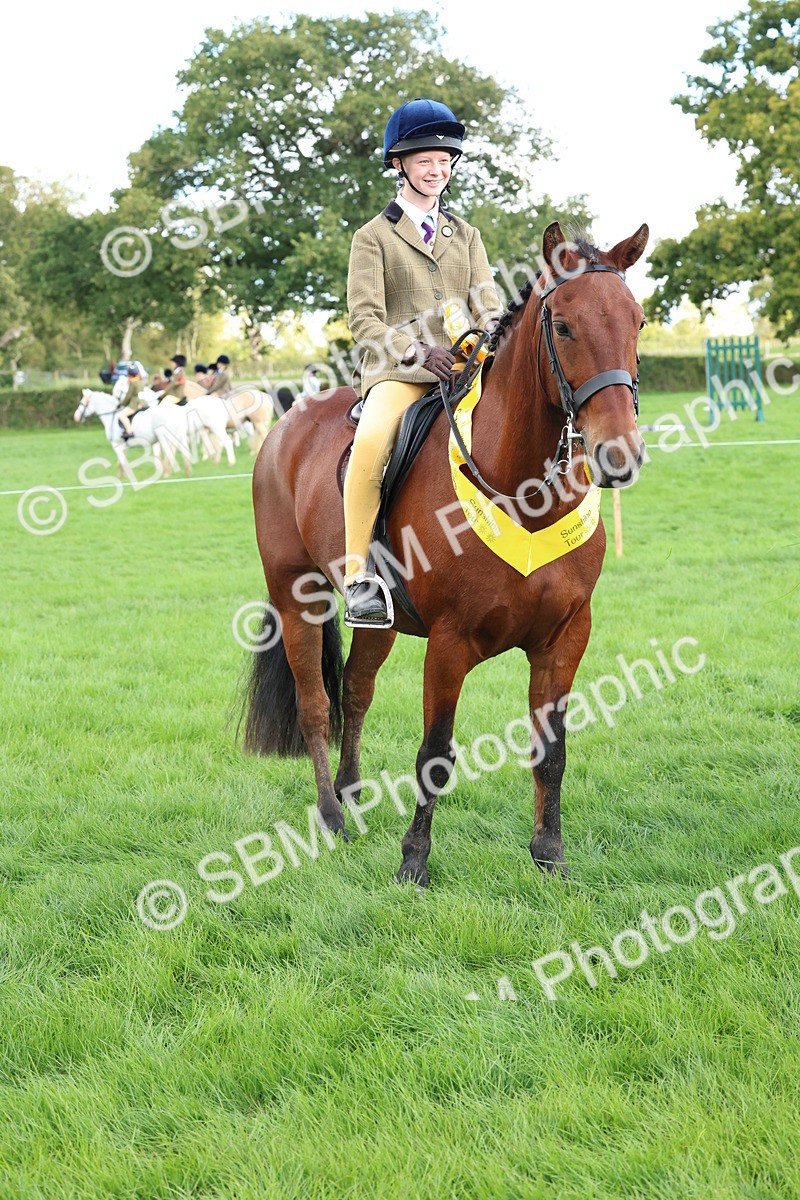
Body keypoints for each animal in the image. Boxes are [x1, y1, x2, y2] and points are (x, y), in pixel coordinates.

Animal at [241, 222, 649, 887]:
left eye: (636, 321)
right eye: (563, 326)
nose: (620, 454)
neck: (524, 494)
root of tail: (284, 422)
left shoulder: (565, 638)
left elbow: (552, 748)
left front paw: (549, 855)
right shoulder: (450, 642)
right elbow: (435, 753)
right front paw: (413, 861)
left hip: (379, 620)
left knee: (356, 689)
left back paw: (352, 794)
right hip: (293, 594)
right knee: (315, 706)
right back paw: (331, 816)